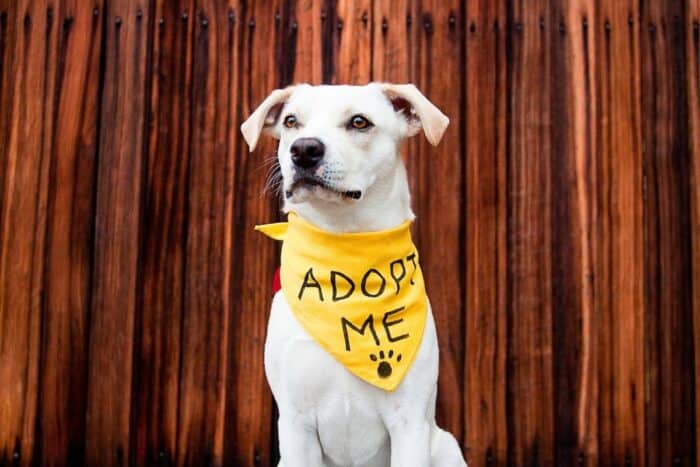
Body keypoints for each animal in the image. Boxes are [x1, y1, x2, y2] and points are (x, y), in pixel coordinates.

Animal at [241, 84, 464, 467]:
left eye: (360, 122)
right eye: (291, 121)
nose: (304, 150)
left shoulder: (409, 423)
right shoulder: (297, 424)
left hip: (446, 445)